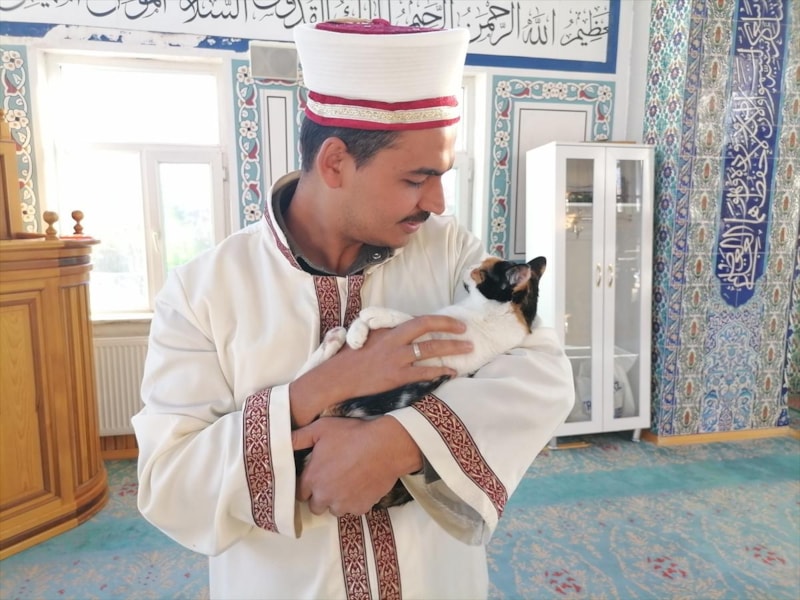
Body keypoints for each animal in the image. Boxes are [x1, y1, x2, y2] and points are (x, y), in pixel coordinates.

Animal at [296, 255, 547, 509]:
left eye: (481, 272)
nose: (469, 266)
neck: (492, 312)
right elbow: (414, 318)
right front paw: (358, 331)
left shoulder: (441, 352)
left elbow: (412, 319)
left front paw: (372, 318)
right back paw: (334, 339)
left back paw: (334, 339)